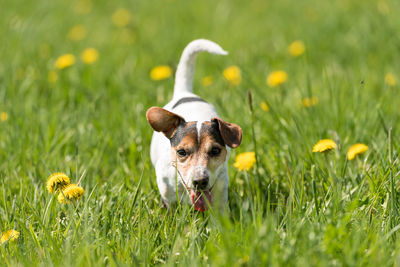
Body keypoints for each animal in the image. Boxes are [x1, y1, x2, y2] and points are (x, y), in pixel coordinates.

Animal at [146, 38, 242, 213]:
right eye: (181, 152)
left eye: (215, 150)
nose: (200, 181)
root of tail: (184, 93)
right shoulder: (167, 194)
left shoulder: (220, 194)